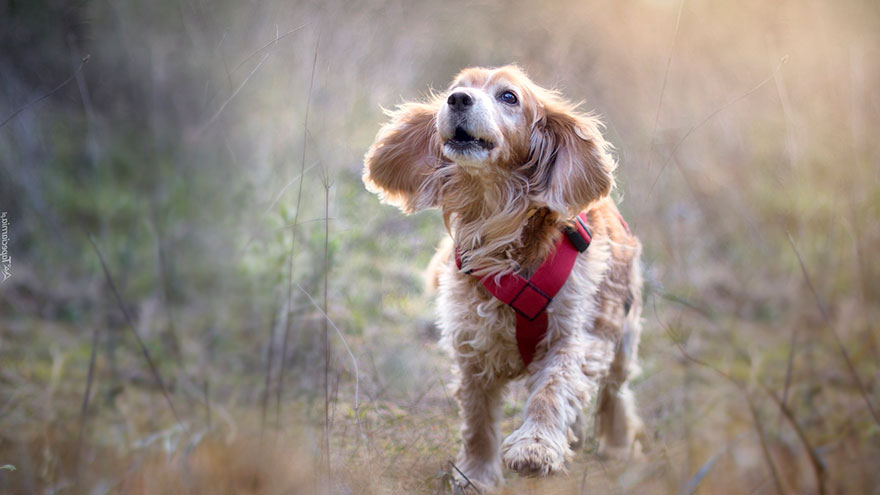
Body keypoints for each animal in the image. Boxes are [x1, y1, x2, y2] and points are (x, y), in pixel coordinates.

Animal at [360, 66, 644, 492]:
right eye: (455, 88)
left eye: (508, 97)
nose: (457, 99)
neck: (496, 223)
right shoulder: (472, 345)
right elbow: (478, 421)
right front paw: (476, 475)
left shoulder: (572, 335)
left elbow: (552, 391)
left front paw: (535, 447)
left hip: (622, 335)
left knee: (616, 393)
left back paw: (616, 446)